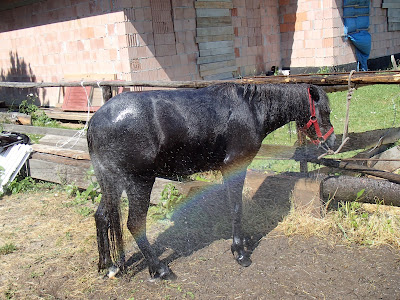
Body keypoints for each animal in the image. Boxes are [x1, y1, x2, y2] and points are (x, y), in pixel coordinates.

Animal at [86, 82, 334, 278]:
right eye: (325, 110)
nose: (331, 143)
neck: (251, 108)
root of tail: (95, 121)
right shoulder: (234, 167)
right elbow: (236, 208)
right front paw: (240, 252)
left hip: (112, 183)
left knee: (102, 217)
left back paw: (108, 265)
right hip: (139, 182)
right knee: (135, 224)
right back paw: (161, 269)